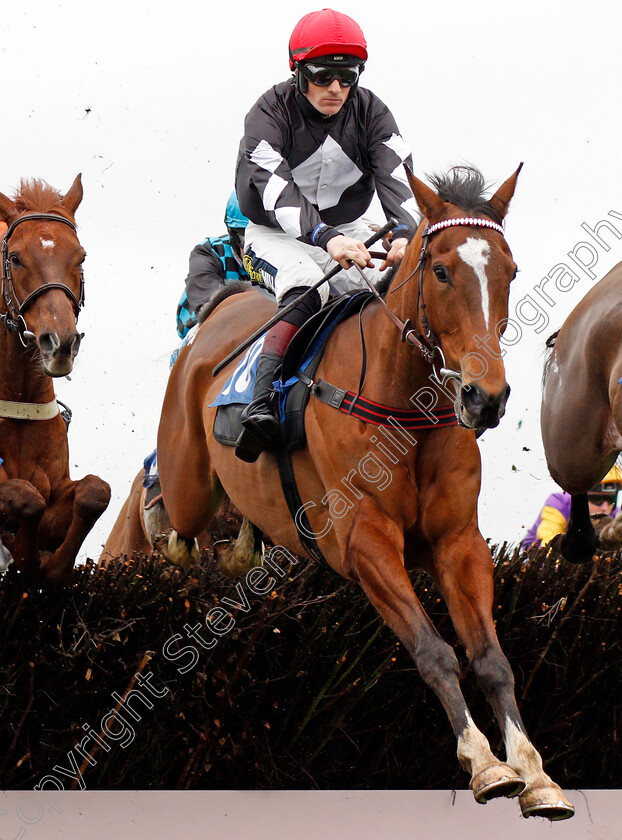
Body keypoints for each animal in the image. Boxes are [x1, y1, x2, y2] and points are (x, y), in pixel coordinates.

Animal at [0, 175, 111, 588]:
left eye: (81, 257)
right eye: (15, 257)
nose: (60, 342)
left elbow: (95, 491)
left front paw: (50, 563)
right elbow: (24, 497)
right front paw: (24, 554)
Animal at [155, 166, 576, 820]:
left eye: (509, 271)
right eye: (441, 271)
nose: (486, 397)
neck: (403, 407)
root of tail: (223, 308)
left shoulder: (458, 543)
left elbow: (492, 661)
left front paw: (535, 773)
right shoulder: (366, 542)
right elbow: (433, 650)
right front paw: (484, 764)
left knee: (234, 547)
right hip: (187, 489)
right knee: (178, 540)